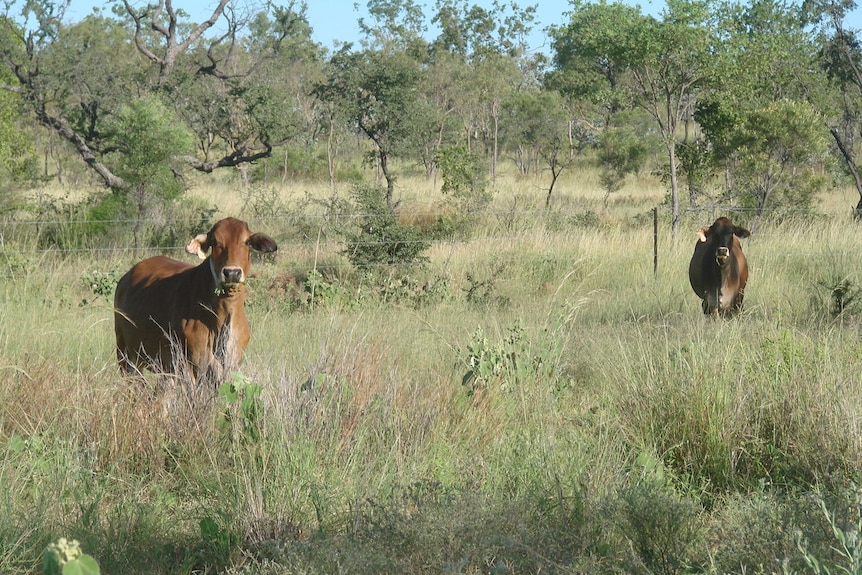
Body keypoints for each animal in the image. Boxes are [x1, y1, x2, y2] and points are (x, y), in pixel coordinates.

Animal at [114, 218, 276, 380]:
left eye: (247, 242)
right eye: (214, 241)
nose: (232, 273)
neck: (223, 317)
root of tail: (125, 277)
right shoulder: (188, 366)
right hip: (125, 354)